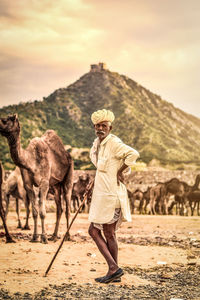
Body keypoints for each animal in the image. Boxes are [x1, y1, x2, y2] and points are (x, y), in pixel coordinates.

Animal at [0, 115, 73, 244]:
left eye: (6, 120)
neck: (30, 160)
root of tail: (67, 155)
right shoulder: (28, 185)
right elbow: (34, 211)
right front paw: (34, 237)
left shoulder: (44, 182)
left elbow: (42, 212)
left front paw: (43, 237)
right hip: (55, 185)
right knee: (59, 209)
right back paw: (54, 236)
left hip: (68, 175)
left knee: (68, 208)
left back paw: (67, 236)